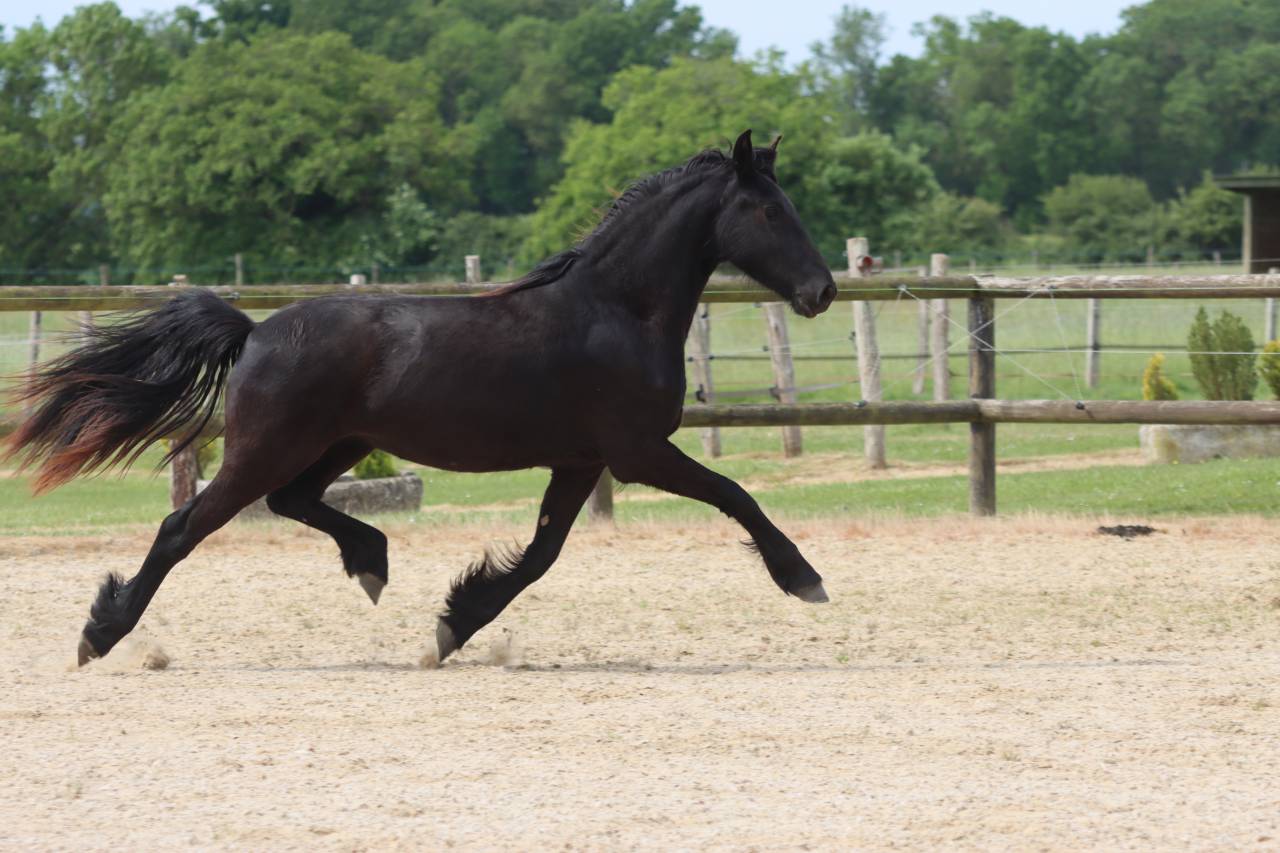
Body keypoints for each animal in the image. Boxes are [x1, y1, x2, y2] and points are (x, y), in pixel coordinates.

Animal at [7, 130, 838, 668]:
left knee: (293, 502)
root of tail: (257, 331)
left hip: (333, 444)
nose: (822, 291)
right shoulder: (636, 452)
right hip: (266, 447)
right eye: (769, 211)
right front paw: (804, 577)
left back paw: (370, 560)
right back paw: (100, 634)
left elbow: (541, 554)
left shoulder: (580, 461)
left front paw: (454, 623)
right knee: (185, 525)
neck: (614, 309)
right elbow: (736, 494)